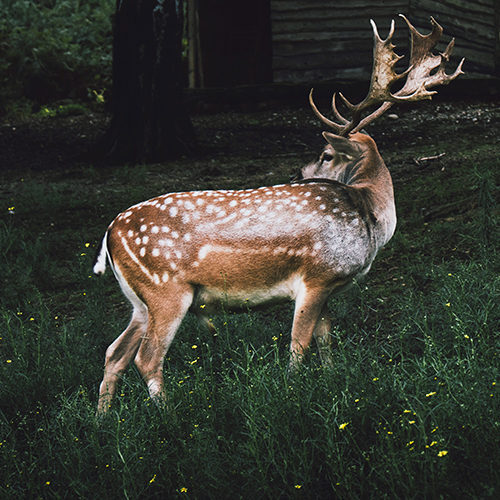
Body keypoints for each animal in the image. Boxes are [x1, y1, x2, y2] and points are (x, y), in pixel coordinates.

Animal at [94, 16, 464, 414]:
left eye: (327, 155)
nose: (299, 175)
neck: (369, 219)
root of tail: (110, 234)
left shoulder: (328, 287)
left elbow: (324, 339)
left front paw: (331, 382)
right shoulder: (317, 275)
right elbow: (298, 345)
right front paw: (291, 394)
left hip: (139, 301)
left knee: (114, 353)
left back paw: (103, 420)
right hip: (165, 289)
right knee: (147, 357)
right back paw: (168, 416)